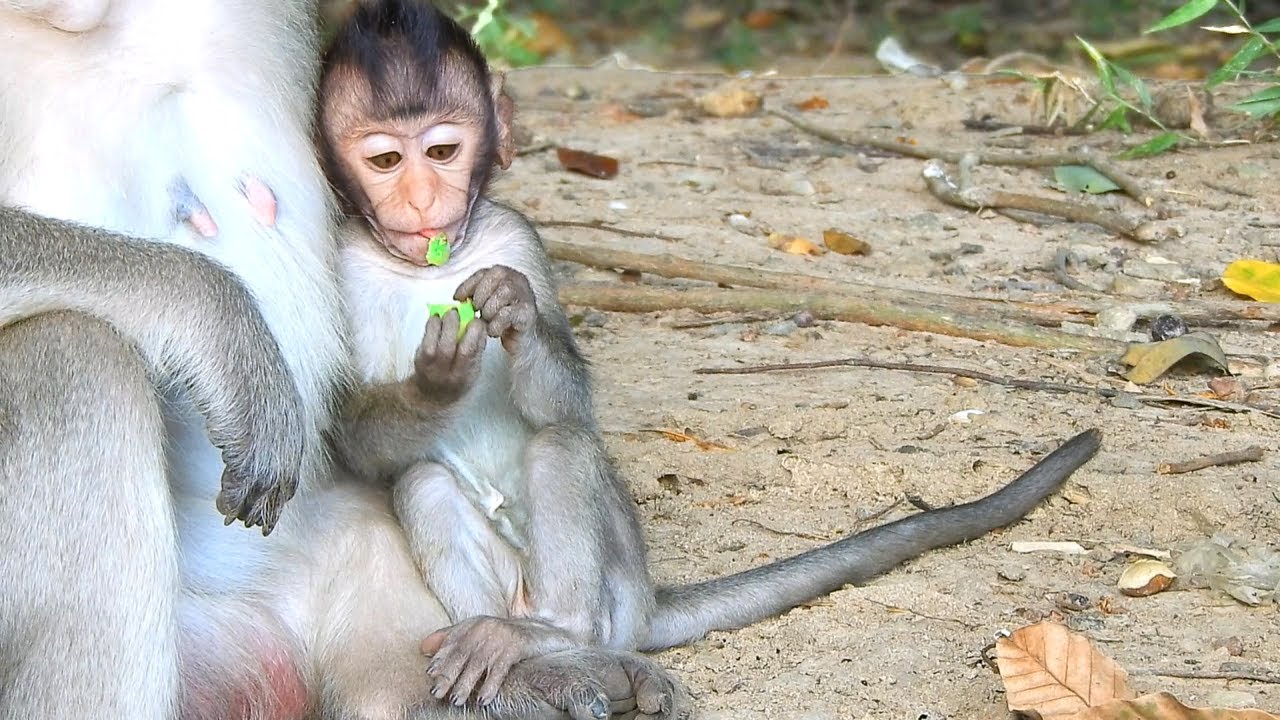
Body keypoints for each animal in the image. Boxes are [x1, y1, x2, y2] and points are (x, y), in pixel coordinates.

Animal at [295, 0, 1107, 709]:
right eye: (386, 160)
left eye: (441, 151)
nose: (421, 199)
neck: (424, 268)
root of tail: (643, 603)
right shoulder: (335, 265)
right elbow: (355, 438)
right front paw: (433, 385)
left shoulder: (516, 237)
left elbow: (564, 401)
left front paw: (512, 310)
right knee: (422, 479)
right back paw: (523, 651)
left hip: (614, 587)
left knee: (563, 446)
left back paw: (549, 633)